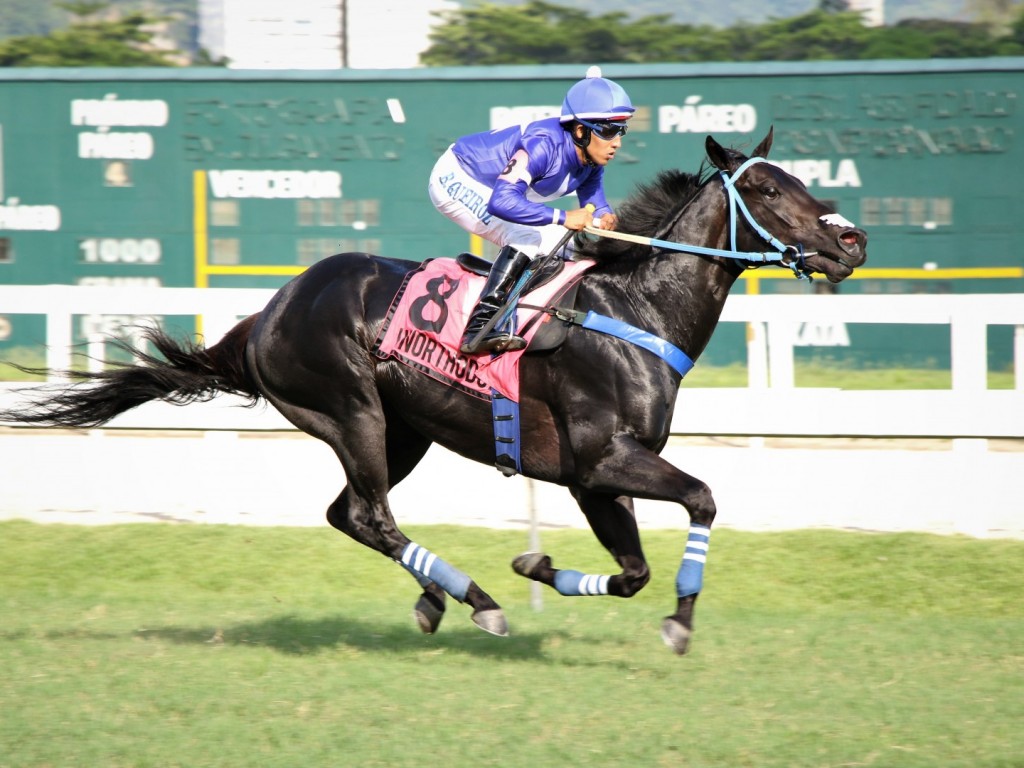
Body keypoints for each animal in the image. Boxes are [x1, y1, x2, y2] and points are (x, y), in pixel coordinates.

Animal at [2, 131, 864, 655]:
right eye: (768, 189)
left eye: (801, 180)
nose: (851, 240)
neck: (633, 307)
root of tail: (266, 314)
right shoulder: (602, 458)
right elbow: (703, 498)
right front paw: (679, 623)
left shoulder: (592, 478)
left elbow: (632, 570)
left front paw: (538, 565)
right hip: (349, 408)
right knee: (371, 515)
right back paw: (475, 600)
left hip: (404, 429)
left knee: (348, 514)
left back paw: (439, 599)